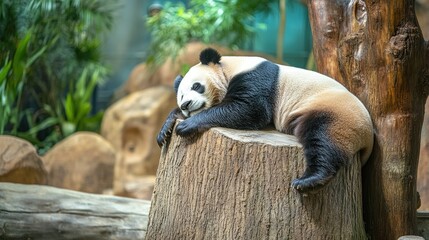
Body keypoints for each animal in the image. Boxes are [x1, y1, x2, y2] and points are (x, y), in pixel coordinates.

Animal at [156, 47, 372, 193]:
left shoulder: (256, 78)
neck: (230, 66)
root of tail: (368, 136)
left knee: (322, 140)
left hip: (334, 113)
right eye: (180, 96)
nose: (186, 105)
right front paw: (165, 130)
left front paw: (186, 126)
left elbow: (250, 109)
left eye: (196, 86)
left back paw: (308, 181)